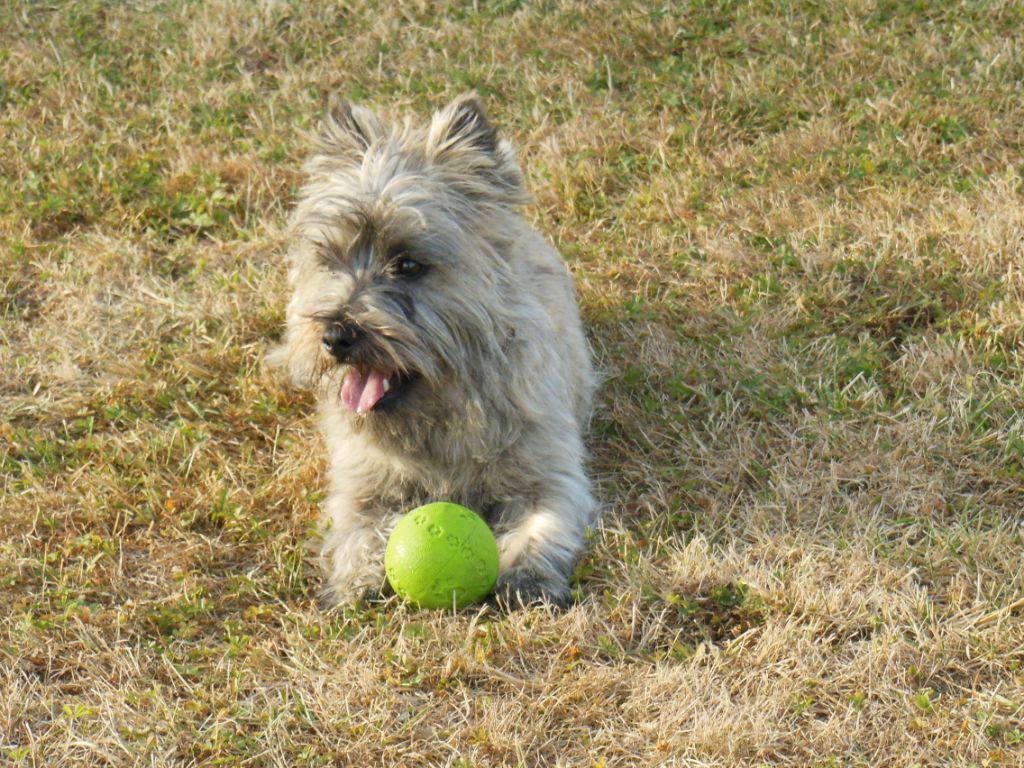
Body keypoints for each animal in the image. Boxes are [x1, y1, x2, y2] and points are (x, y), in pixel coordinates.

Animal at [268, 91, 598, 606]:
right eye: (331, 259)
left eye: (409, 264)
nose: (336, 336)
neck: (437, 417)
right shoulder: (360, 481)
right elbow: (356, 529)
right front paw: (354, 580)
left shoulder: (547, 469)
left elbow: (545, 521)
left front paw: (526, 577)